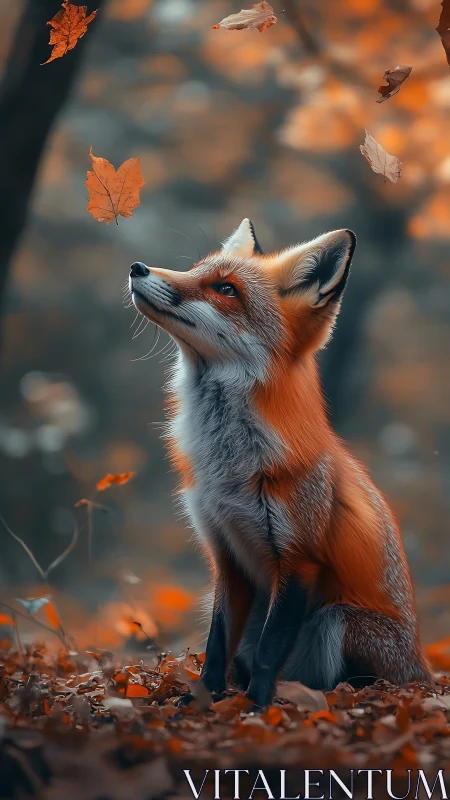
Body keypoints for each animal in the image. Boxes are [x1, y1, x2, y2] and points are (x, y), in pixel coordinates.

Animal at [129, 218, 431, 708]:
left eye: (225, 289)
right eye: (195, 270)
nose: (137, 267)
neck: (229, 466)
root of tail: (423, 668)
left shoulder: (299, 560)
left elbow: (271, 653)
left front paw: (253, 708)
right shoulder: (226, 555)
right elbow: (217, 644)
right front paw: (206, 698)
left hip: (337, 620)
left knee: (341, 677)